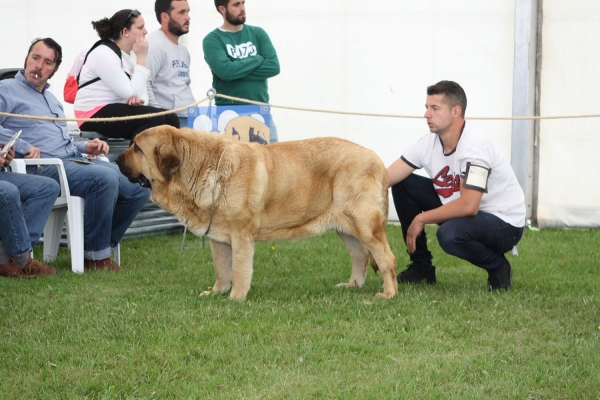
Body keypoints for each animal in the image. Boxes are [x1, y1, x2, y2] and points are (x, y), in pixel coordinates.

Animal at [117, 126, 398, 298]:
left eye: (137, 148)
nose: (117, 159)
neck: (203, 167)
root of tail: (378, 160)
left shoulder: (241, 236)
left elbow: (239, 270)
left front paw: (235, 298)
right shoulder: (218, 239)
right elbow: (222, 270)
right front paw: (216, 293)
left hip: (364, 225)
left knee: (386, 258)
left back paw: (387, 294)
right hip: (346, 228)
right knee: (360, 256)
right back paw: (351, 286)